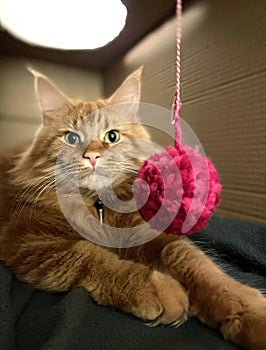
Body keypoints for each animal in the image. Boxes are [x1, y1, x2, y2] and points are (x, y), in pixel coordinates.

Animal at [0, 69, 264, 350]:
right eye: (72, 138)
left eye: (112, 136)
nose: (92, 156)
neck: (99, 204)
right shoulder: (30, 241)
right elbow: (94, 257)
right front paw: (160, 290)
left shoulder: (149, 235)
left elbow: (197, 265)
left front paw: (249, 312)